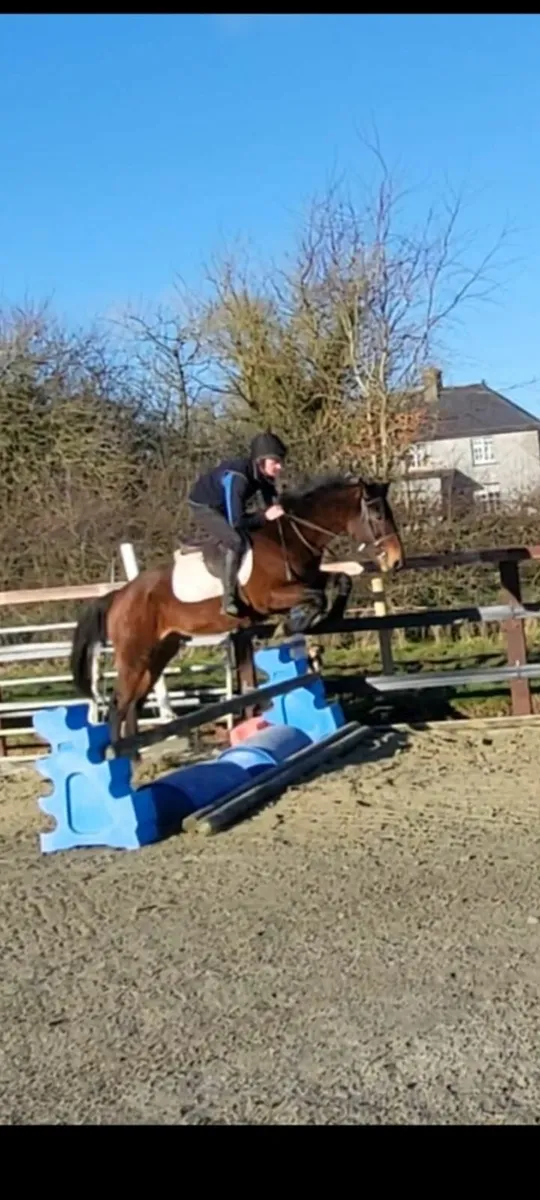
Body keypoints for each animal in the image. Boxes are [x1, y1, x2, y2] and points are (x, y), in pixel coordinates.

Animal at [70, 473, 404, 746]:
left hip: (160, 652)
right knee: (119, 704)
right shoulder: (271, 597)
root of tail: (119, 595)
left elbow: (340, 580)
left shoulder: (308, 578)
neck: (289, 537)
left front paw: (328, 616)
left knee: (133, 704)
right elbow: (316, 597)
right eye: (377, 514)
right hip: (134, 655)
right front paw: (290, 625)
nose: (396, 561)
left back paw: (136, 755)